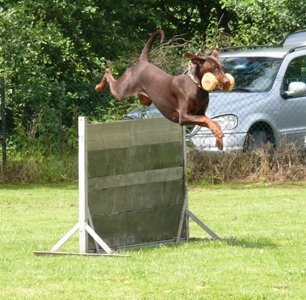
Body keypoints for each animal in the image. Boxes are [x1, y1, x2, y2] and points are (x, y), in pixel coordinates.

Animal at [95, 29, 230, 149]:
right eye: (213, 68)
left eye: (221, 67)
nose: (227, 81)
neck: (197, 87)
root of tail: (143, 62)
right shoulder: (184, 116)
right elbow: (207, 119)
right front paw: (218, 133)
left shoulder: (198, 114)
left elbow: (209, 120)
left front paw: (218, 139)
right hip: (121, 91)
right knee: (108, 73)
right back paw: (99, 86)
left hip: (145, 100)